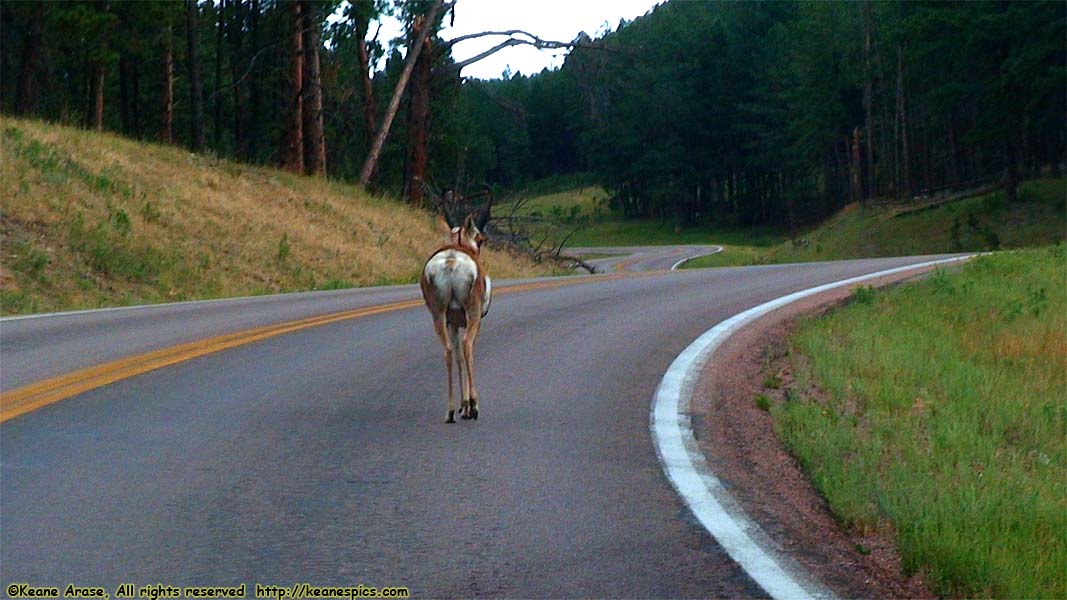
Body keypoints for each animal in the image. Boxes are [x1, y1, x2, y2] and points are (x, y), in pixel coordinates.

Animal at [420, 196, 495, 420]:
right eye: (481, 239)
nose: (480, 245)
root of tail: (451, 260)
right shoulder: (473, 320)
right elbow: (466, 352)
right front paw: (468, 406)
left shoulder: (452, 323)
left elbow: (458, 357)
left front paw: (463, 406)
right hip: (472, 315)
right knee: (467, 346)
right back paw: (474, 406)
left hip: (438, 316)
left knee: (448, 351)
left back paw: (451, 411)